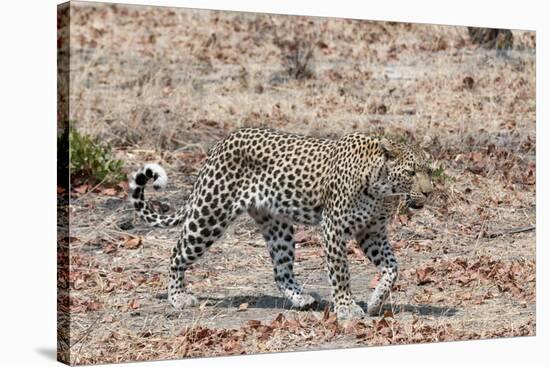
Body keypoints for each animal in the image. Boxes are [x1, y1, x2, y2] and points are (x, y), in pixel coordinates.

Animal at [130, 128, 436, 320]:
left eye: (429, 172)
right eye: (411, 172)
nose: (429, 192)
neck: (382, 189)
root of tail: (219, 145)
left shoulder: (371, 232)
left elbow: (393, 268)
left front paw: (375, 303)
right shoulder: (334, 228)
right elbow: (341, 273)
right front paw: (347, 309)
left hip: (277, 227)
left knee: (281, 270)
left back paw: (302, 299)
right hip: (210, 214)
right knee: (176, 253)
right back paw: (178, 297)